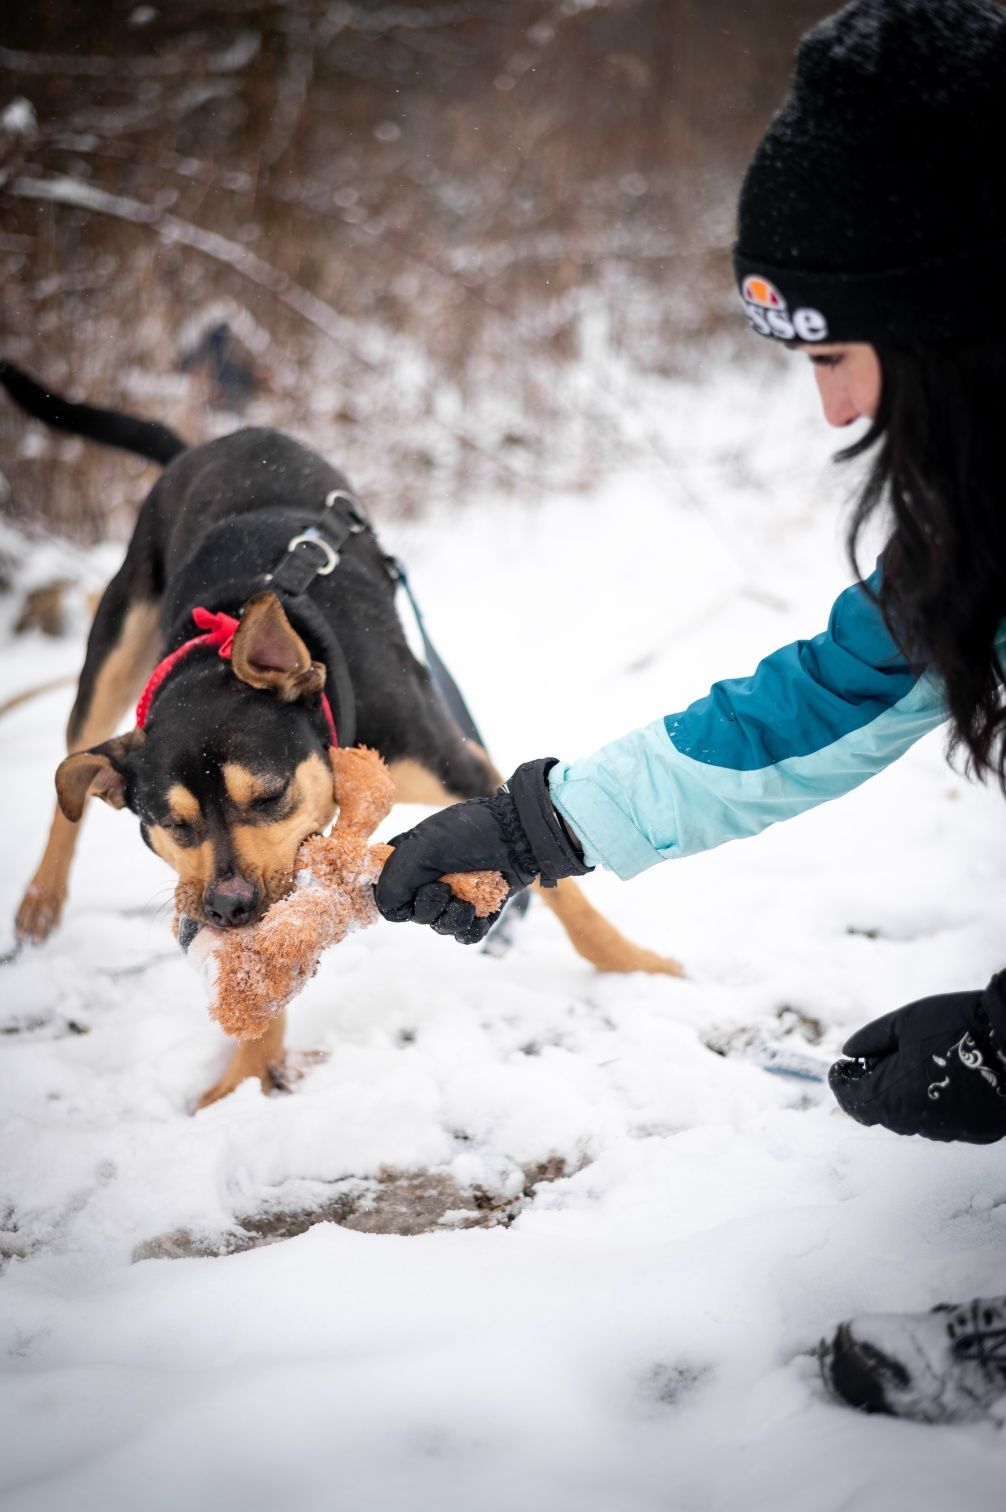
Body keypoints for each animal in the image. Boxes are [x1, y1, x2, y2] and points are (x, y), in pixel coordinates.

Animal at [3, 359, 677, 1106]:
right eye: (172, 825)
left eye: (269, 796)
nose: (227, 907)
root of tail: (209, 444)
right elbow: (264, 972)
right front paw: (245, 1078)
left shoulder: (461, 768)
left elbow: (552, 871)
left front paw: (635, 967)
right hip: (115, 646)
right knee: (70, 782)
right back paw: (40, 899)